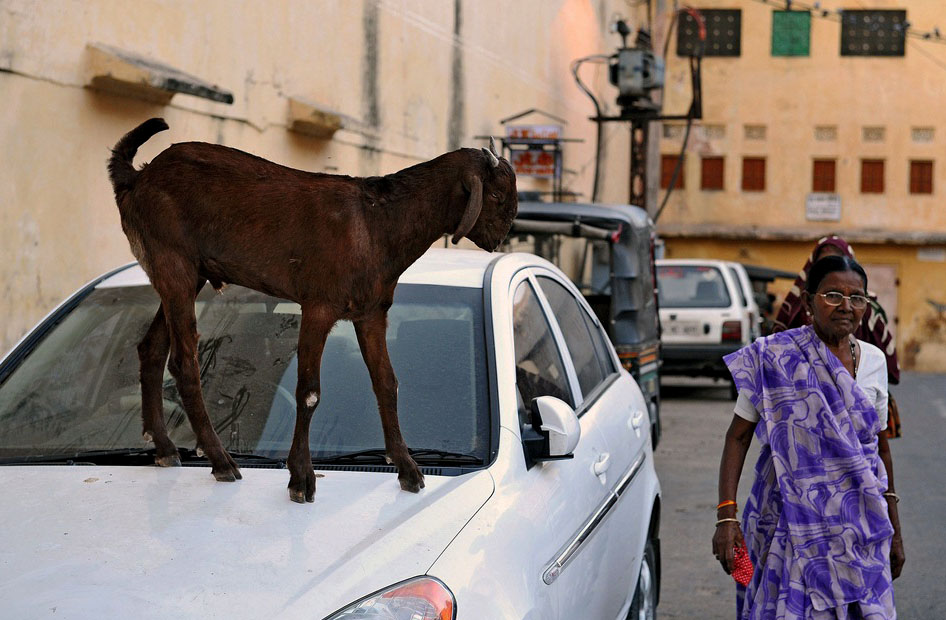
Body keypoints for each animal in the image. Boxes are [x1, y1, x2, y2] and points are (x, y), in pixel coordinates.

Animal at [109, 120, 516, 504]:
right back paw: (221, 461)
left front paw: (408, 469)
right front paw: (301, 478)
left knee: (151, 348)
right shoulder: (319, 306)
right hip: (173, 262)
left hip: (187, 274)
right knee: (184, 362)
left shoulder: (372, 313)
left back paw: (165, 448)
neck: (377, 224)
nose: (501, 237)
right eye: (496, 194)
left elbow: (387, 384)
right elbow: (309, 391)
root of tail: (139, 177)